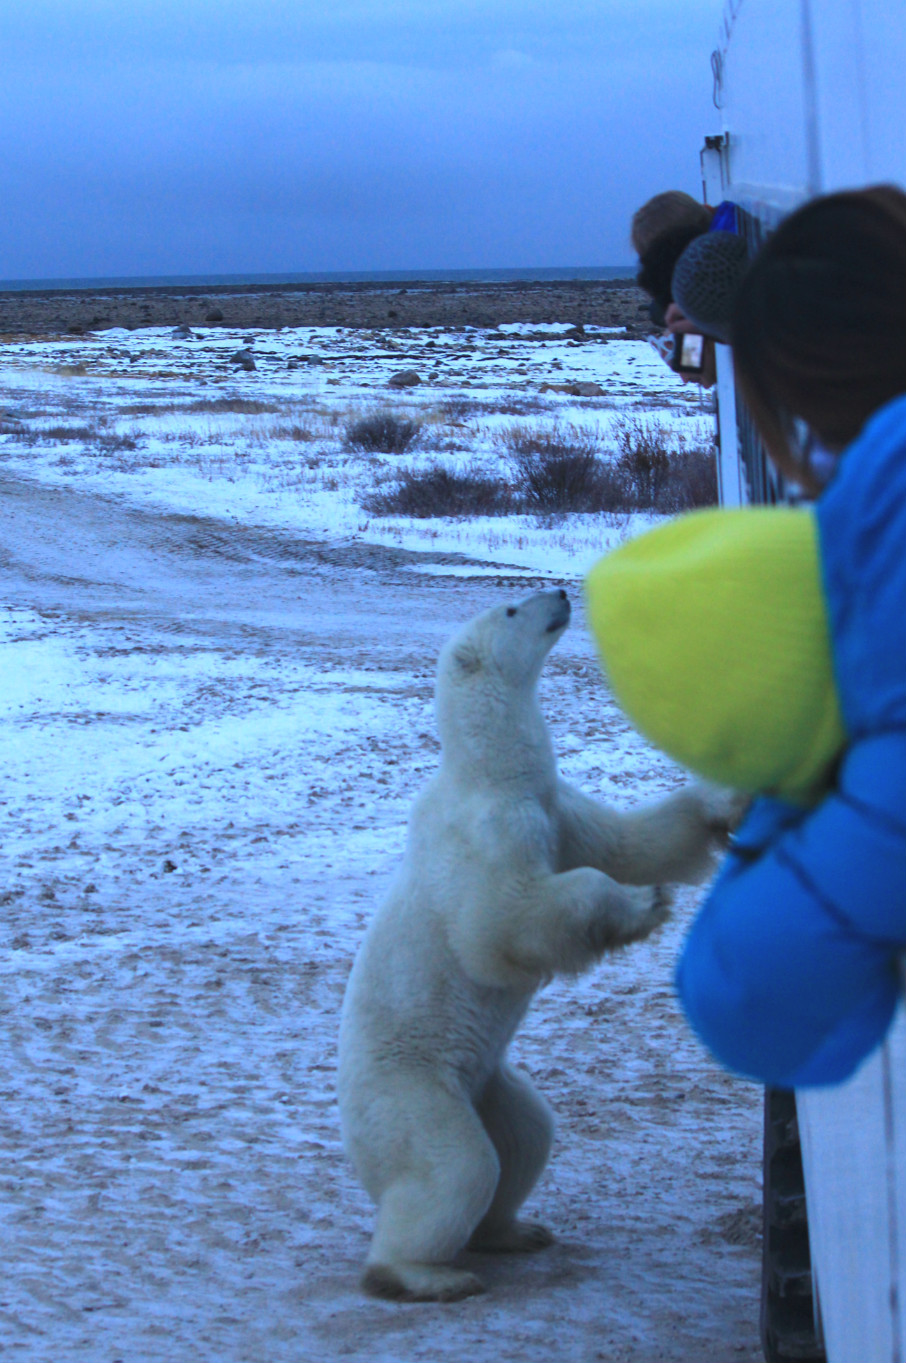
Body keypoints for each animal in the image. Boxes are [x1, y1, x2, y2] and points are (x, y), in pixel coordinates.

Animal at [339, 591, 735, 1303]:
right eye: (510, 608)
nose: (560, 592)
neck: (493, 773)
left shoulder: (557, 810)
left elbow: (631, 842)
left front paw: (723, 802)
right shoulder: (489, 832)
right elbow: (499, 921)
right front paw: (644, 906)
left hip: (490, 1084)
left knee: (527, 1135)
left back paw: (515, 1231)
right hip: (412, 1090)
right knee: (456, 1165)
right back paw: (425, 1273)